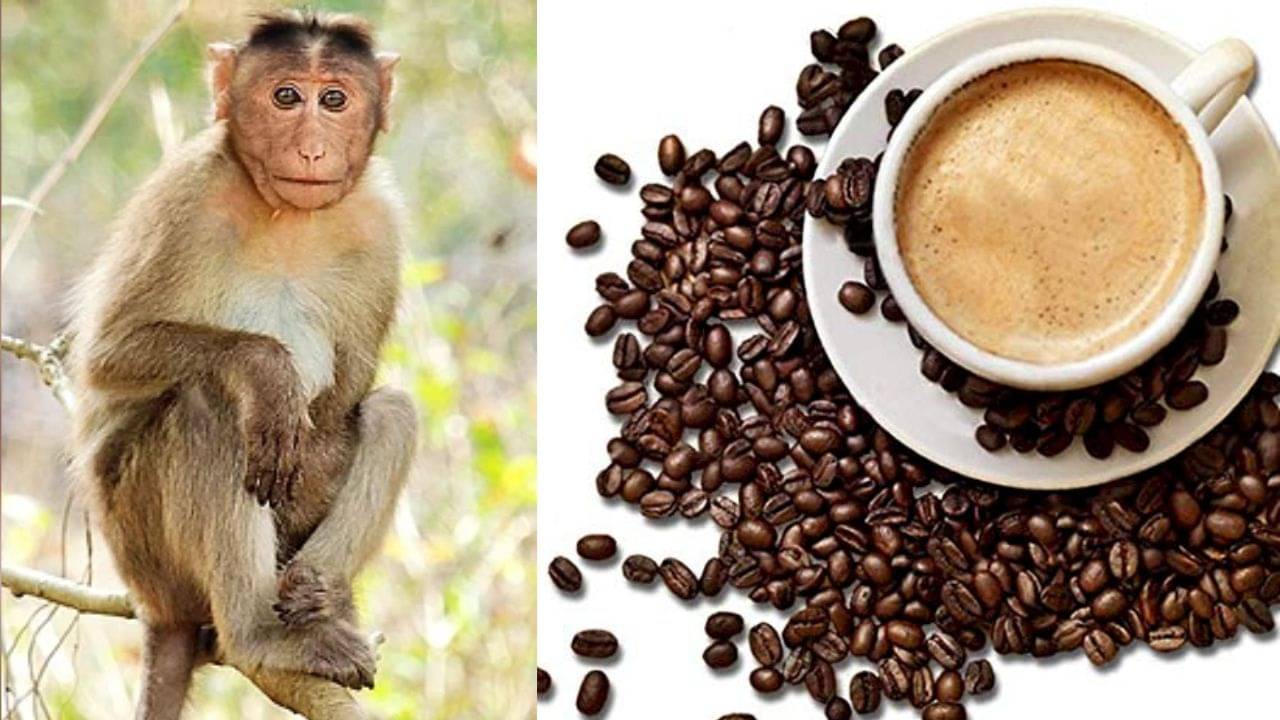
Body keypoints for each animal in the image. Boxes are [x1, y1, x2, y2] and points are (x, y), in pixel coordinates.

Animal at [65, 11, 415, 719]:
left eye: (333, 99)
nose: (310, 149)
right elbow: (106, 357)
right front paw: (268, 371)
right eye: (285, 97)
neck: (287, 215)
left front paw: (325, 591)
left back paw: (319, 599)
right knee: (210, 407)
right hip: (146, 548)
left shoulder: (380, 223)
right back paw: (261, 635)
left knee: (390, 411)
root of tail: (158, 610)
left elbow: (348, 399)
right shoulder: (185, 196)